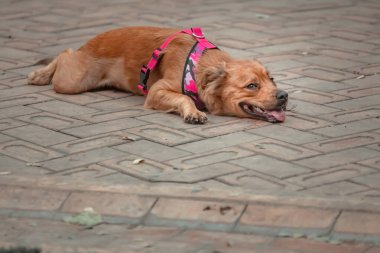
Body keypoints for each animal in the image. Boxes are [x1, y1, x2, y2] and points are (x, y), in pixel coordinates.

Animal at [27, 26, 288, 124]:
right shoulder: (156, 91)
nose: (284, 95)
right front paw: (193, 112)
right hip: (73, 80)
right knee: (64, 52)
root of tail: (90, 42)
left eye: (272, 79)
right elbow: (183, 97)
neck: (199, 66)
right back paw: (40, 74)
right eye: (252, 85)